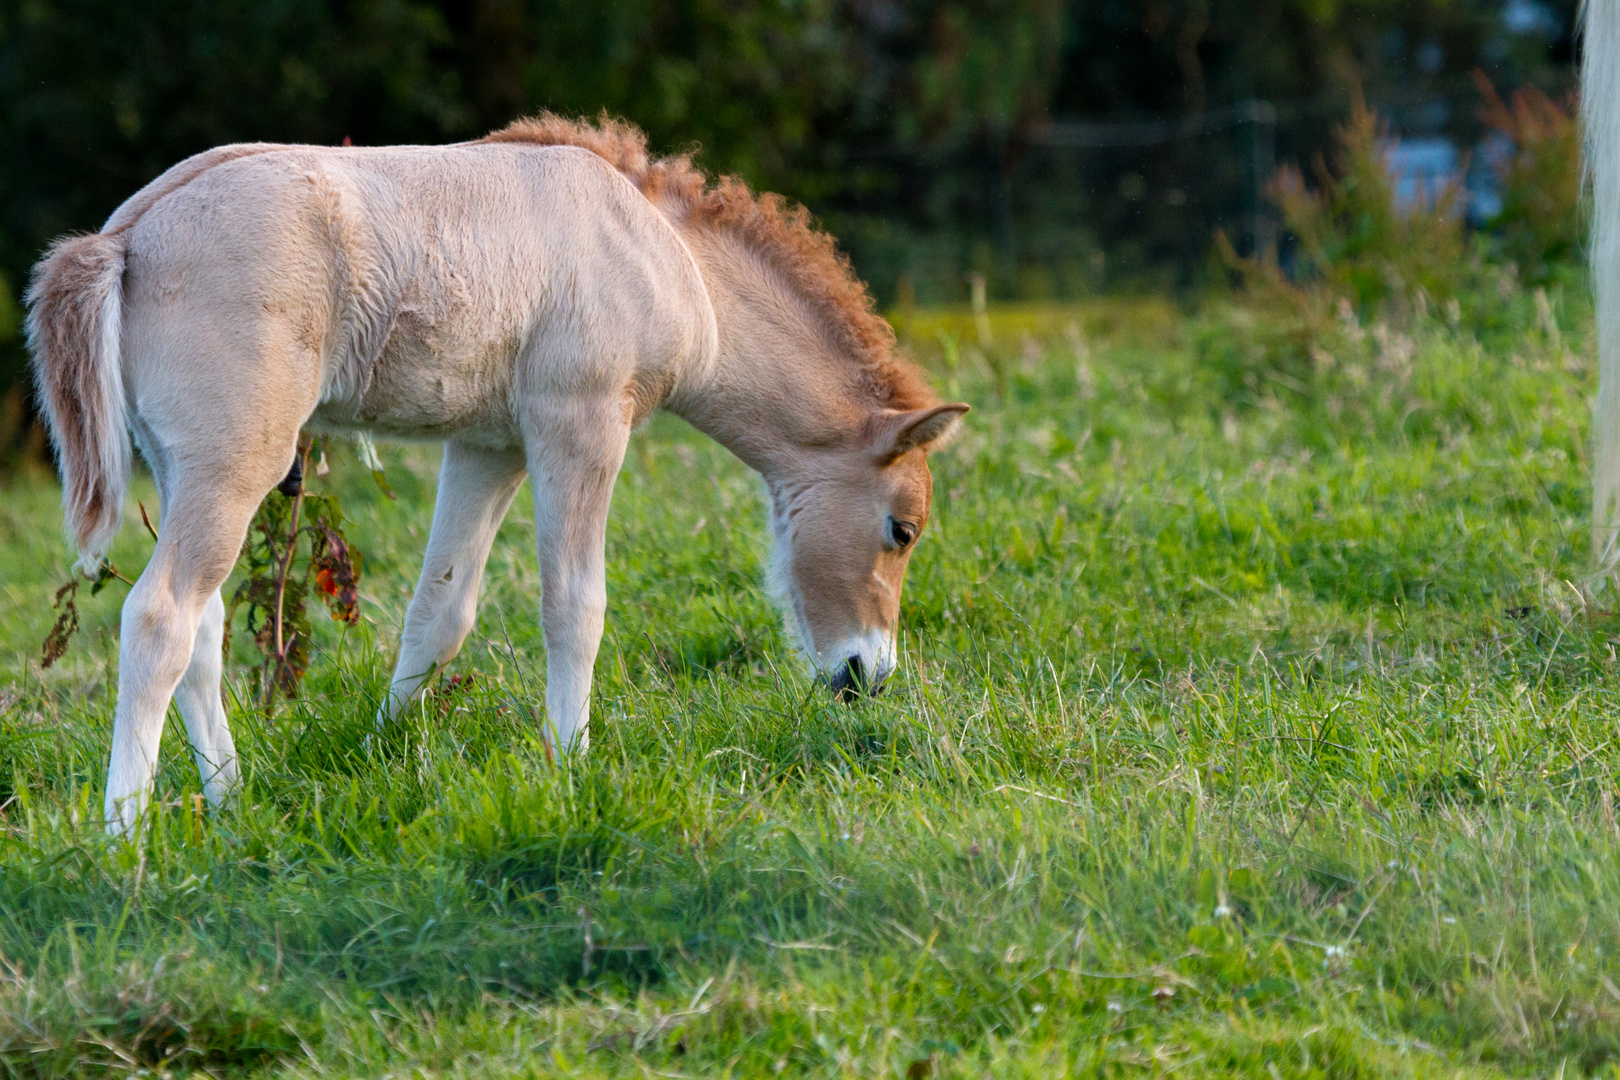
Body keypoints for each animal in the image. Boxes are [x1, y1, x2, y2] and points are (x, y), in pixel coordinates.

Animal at [28, 114, 959, 835]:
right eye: (901, 529)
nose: (867, 676)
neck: (662, 251)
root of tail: (126, 236)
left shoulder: (488, 445)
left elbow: (440, 610)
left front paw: (383, 750)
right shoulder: (579, 423)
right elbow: (576, 605)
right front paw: (570, 765)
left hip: (187, 467)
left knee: (206, 627)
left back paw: (229, 803)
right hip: (238, 459)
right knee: (161, 617)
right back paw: (124, 839)